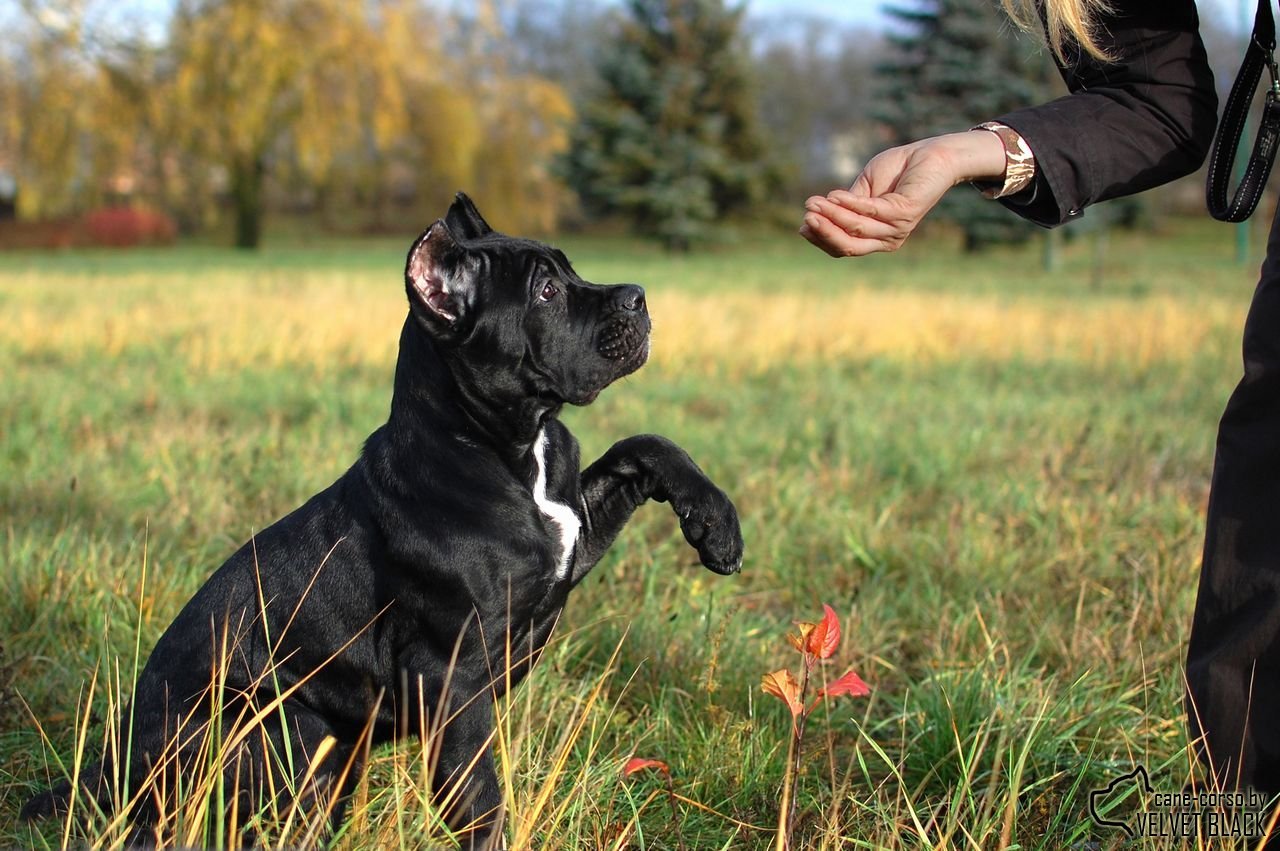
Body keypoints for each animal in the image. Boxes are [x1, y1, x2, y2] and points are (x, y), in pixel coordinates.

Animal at [20, 194, 747, 849]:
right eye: (544, 291)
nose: (637, 296)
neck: (502, 445)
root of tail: (111, 768)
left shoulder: (574, 533)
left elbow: (643, 445)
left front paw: (716, 526)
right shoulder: (448, 677)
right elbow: (478, 794)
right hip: (272, 732)